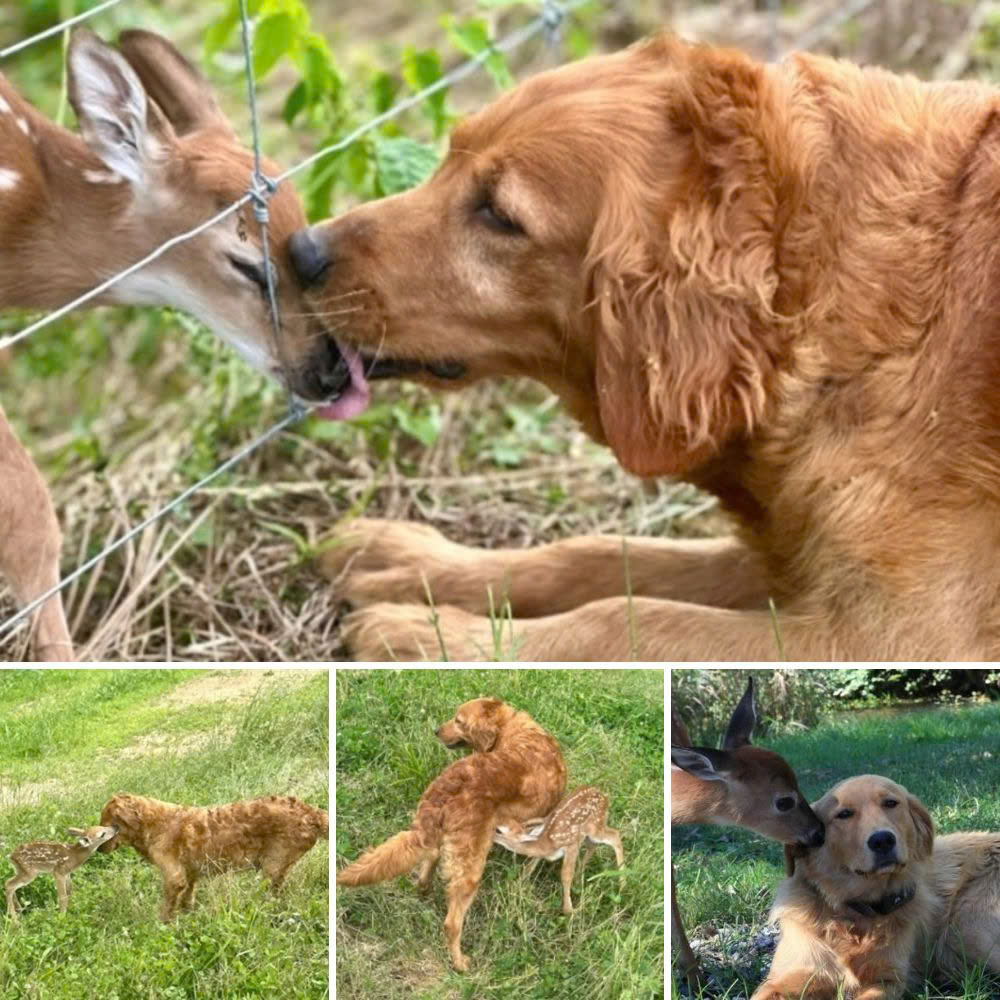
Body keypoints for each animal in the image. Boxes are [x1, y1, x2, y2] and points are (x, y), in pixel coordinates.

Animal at [97, 792, 326, 916]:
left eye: (107, 822)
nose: (98, 848)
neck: (152, 824)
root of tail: (312, 813)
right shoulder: (189, 874)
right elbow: (187, 897)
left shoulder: (174, 878)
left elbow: (167, 907)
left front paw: (161, 925)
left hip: (273, 864)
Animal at [490, 784, 620, 916]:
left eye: (499, 831)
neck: (547, 843)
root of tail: (603, 794)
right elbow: (529, 867)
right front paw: (519, 883)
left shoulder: (571, 845)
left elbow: (566, 875)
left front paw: (570, 910)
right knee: (593, 845)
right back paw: (580, 876)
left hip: (595, 826)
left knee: (615, 835)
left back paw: (622, 882)